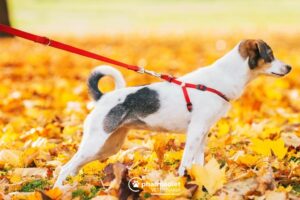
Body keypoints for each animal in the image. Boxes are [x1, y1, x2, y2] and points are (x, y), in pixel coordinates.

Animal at [53, 38, 290, 188]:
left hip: (108, 147)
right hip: (96, 142)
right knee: (65, 168)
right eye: (270, 55)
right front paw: (183, 183)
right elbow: (186, 162)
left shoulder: (202, 133)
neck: (222, 78)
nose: (289, 67)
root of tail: (103, 98)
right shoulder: (195, 132)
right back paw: (58, 190)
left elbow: (198, 162)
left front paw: (200, 182)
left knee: (74, 167)